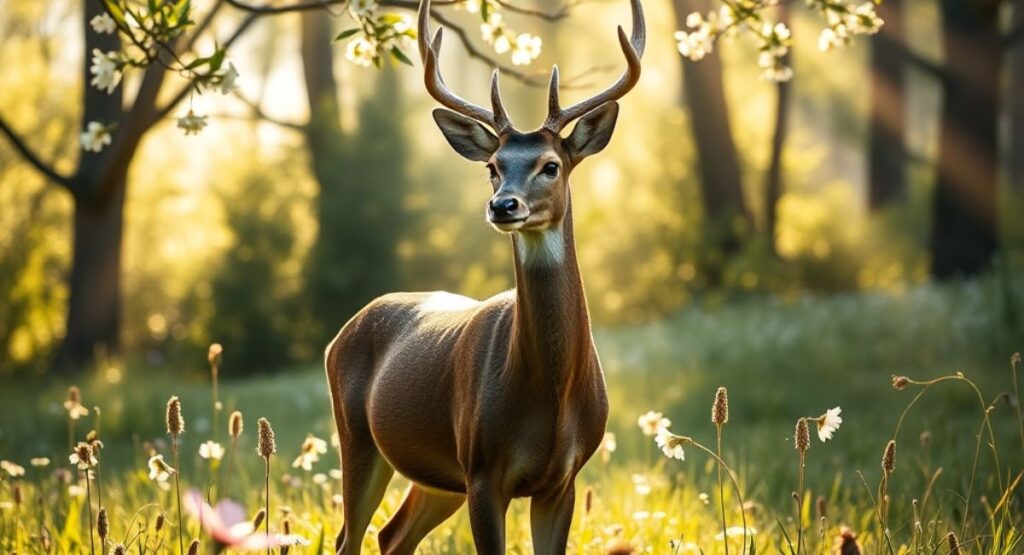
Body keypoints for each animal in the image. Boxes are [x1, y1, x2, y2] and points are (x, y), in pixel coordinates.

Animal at [324, 0, 645, 552]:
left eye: (551, 165)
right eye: (493, 167)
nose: (502, 205)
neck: (549, 395)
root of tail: (338, 336)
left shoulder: (562, 480)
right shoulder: (482, 469)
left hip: (436, 474)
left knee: (392, 534)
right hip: (361, 438)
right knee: (351, 536)